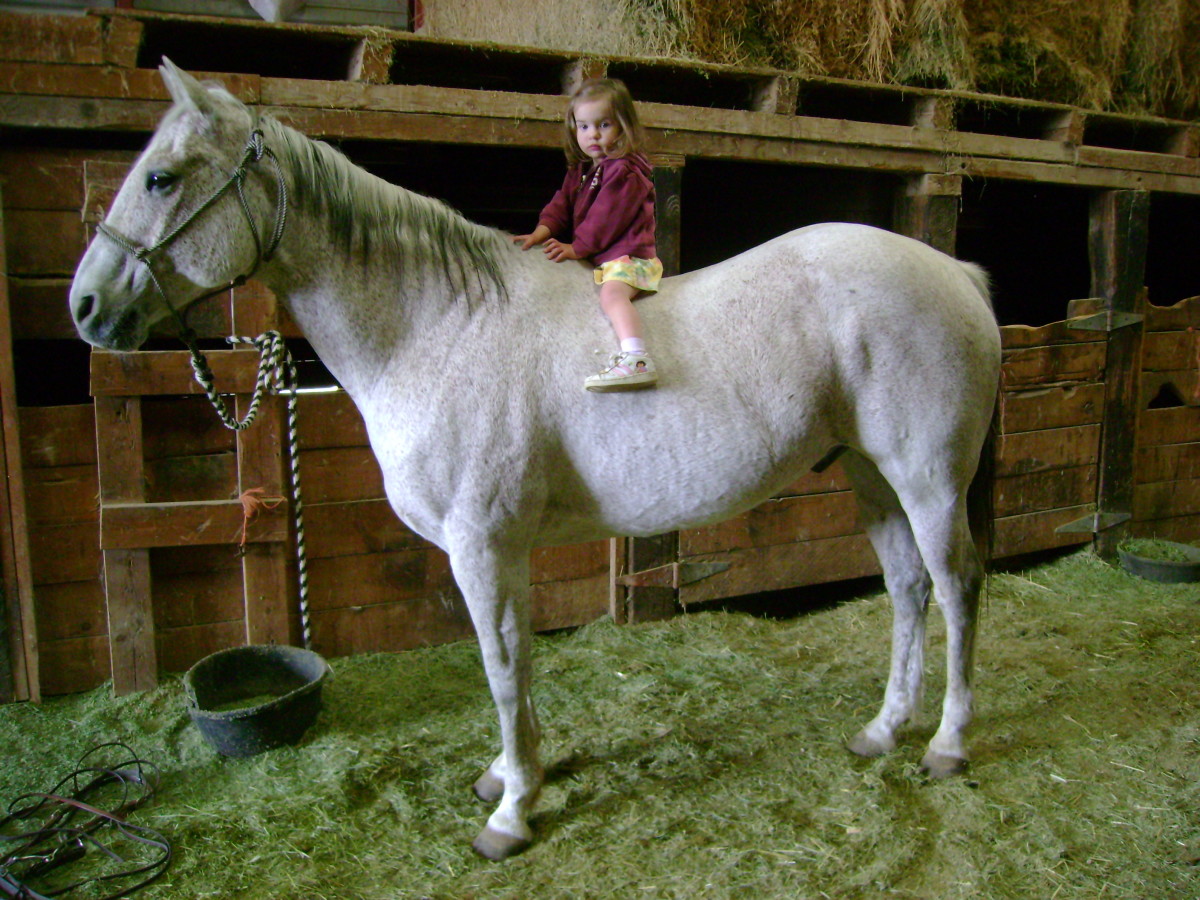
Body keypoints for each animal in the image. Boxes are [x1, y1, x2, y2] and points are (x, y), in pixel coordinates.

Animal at [68, 61, 1003, 859]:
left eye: (161, 178)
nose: (86, 306)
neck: (437, 327)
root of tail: (956, 272)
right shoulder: (502, 548)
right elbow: (517, 657)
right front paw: (516, 775)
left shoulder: (480, 545)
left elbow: (500, 664)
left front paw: (512, 812)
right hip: (870, 474)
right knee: (907, 588)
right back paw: (883, 730)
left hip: (926, 479)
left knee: (957, 586)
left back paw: (948, 743)